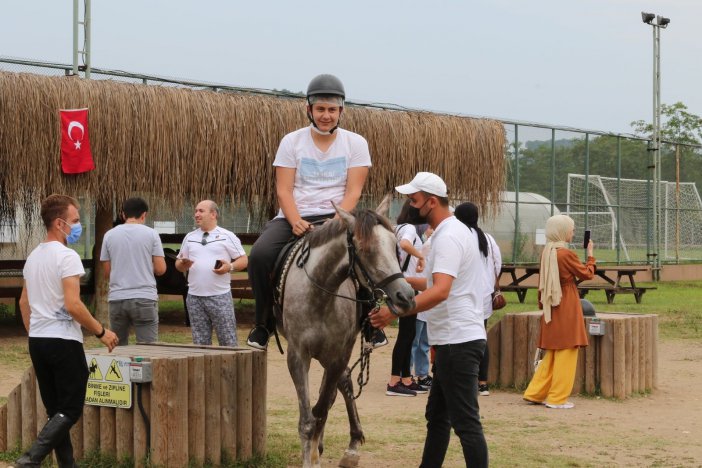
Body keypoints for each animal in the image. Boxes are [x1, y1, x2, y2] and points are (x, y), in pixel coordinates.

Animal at [276, 205, 418, 468]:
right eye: (366, 250)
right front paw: (311, 456)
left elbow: (321, 411)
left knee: (342, 385)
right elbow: (308, 420)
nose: (406, 297)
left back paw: (351, 446)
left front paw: (316, 453)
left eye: (395, 246)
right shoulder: (298, 356)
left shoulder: (338, 356)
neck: (322, 295)